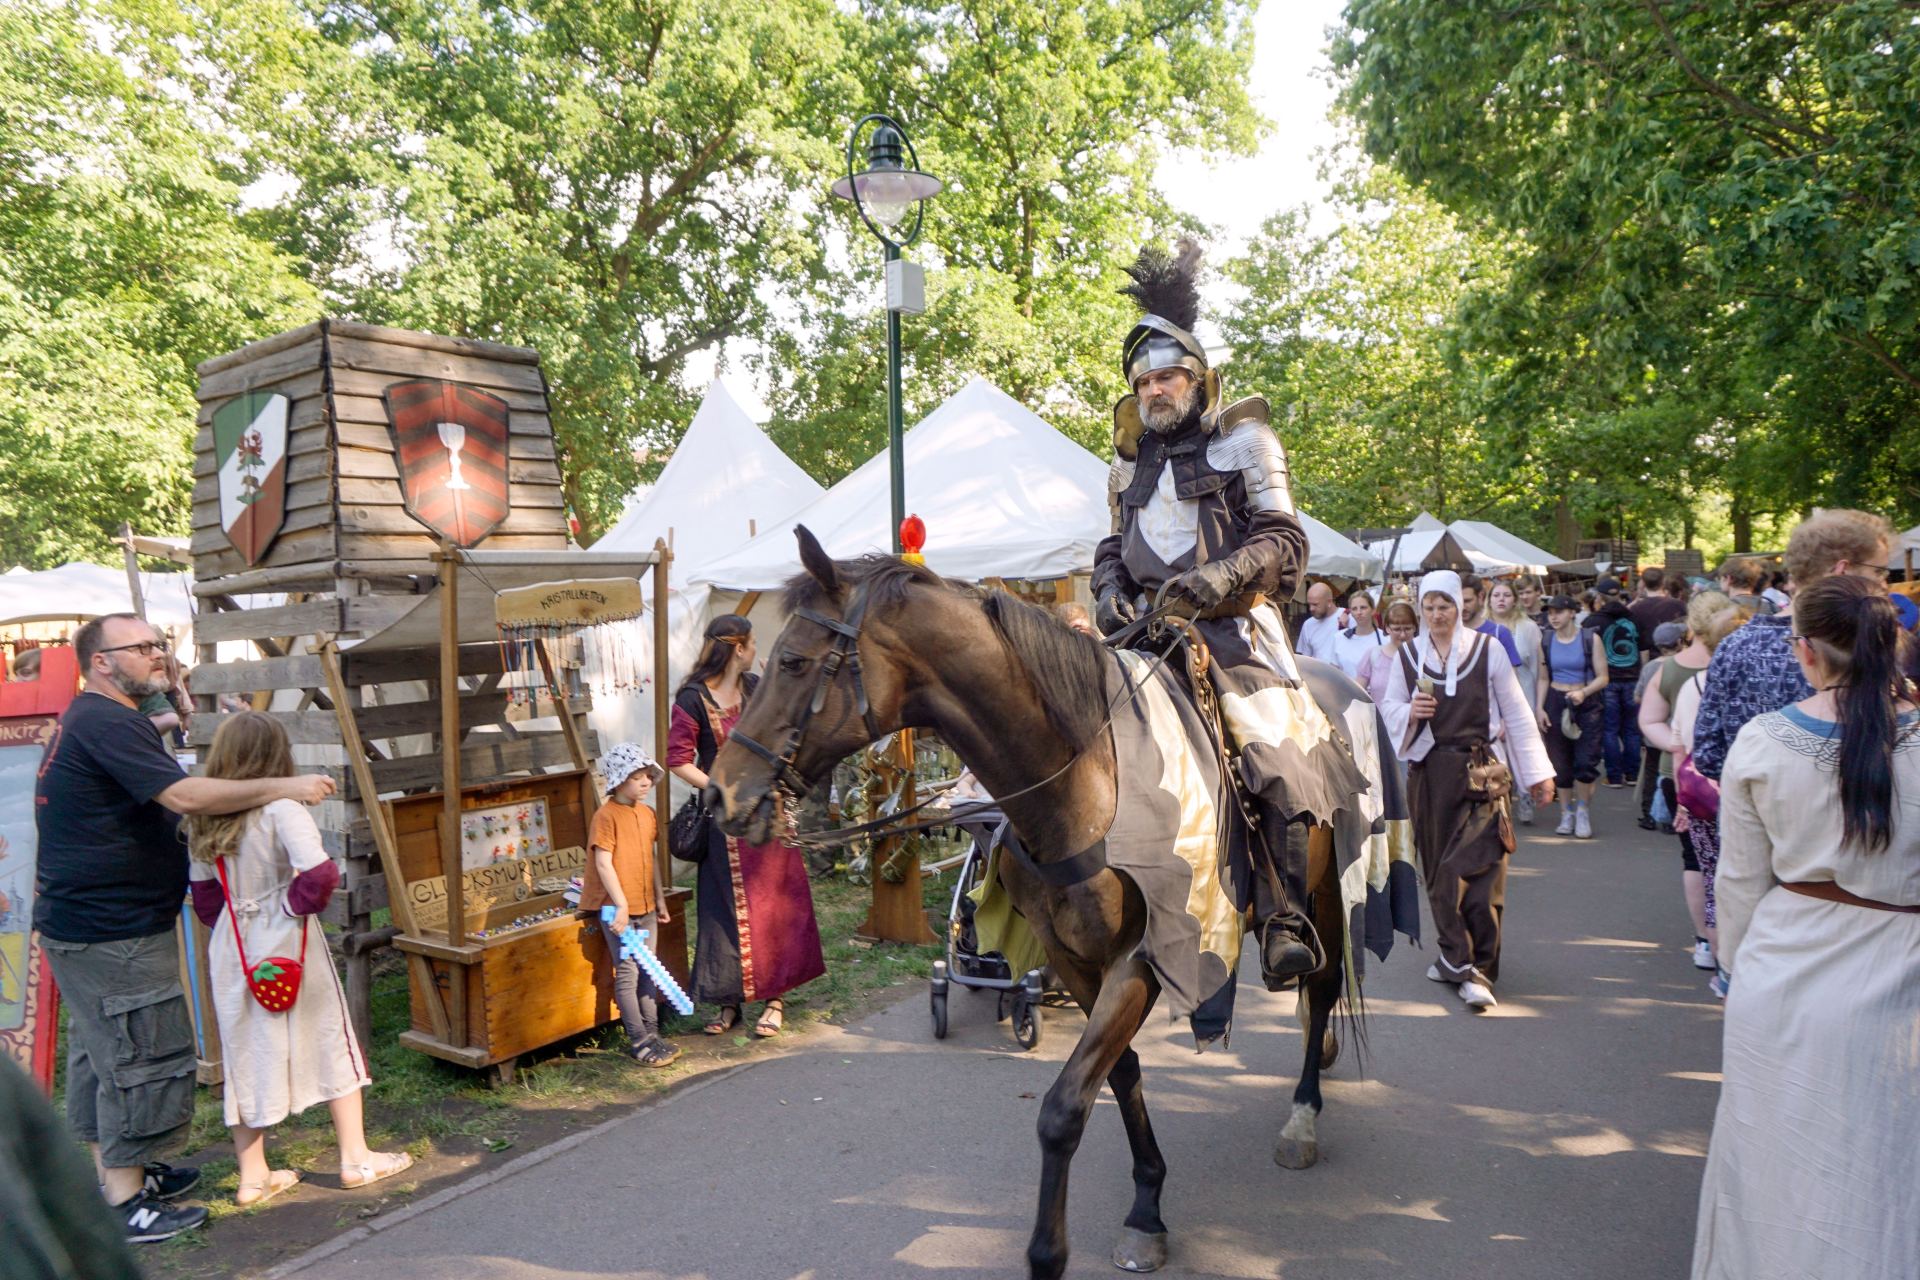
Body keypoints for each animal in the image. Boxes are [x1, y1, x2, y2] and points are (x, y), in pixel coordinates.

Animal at [714, 525, 1359, 1274]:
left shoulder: (1142, 958)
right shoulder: (1074, 958)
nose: (720, 795)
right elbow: (1119, 1075)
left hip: (1324, 889)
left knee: (1321, 987)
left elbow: (1062, 1109)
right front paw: (1147, 1203)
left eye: (792, 662)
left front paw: (1049, 1252)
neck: (1090, 778)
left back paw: (1303, 1116)